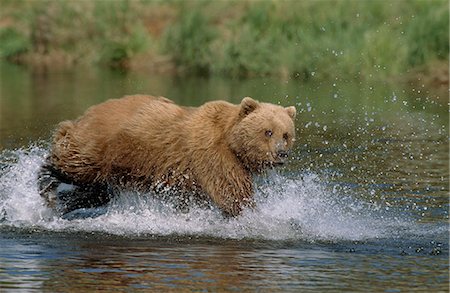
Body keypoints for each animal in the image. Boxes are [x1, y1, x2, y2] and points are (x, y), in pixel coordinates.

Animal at [37, 94, 296, 216]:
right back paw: (47, 182)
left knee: (97, 191)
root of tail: (89, 112)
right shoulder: (212, 153)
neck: (232, 141)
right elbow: (231, 193)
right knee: (74, 165)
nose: (280, 153)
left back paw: (66, 201)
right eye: (267, 131)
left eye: (286, 134)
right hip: (101, 146)